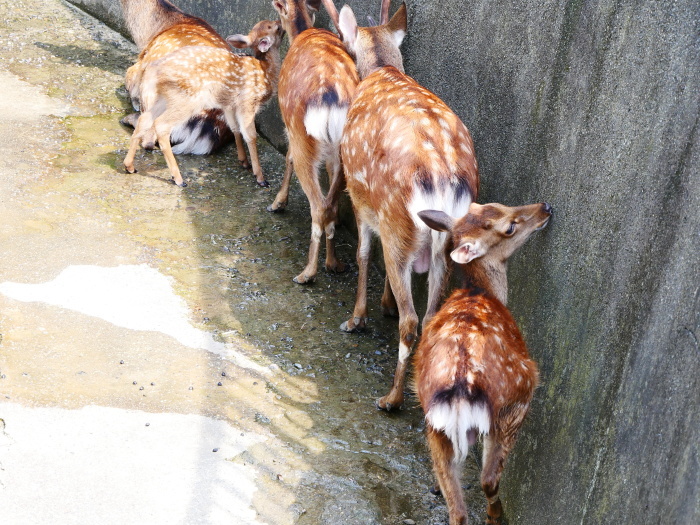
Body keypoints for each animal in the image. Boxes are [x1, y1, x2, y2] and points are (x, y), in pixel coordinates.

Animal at [123, 21, 284, 188]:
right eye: (274, 27)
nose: (281, 23)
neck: (266, 70)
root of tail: (154, 70)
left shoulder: (229, 104)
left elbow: (235, 128)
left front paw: (244, 161)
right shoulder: (248, 102)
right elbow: (250, 136)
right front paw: (260, 177)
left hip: (163, 99)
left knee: (145, 119)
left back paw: (130, 166)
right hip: (186, 99)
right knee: (161, 125)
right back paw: (179, 179)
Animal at [330, 1, 478, 410]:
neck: (384, 68)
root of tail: (442, 178)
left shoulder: (360, 195)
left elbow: (364, 253)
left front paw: (357, 318)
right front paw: (382, 304)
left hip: (399, 224)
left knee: (411, 321)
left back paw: (391, 398)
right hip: (446, 242)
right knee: (430, 318)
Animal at [416, 201, 552, 524]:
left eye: (486, 205)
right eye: (510, 227)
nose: (545, 207)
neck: (481, 291)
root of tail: (459, 392)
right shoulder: (521, 397)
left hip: (435, 427)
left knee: (458, 512)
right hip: (511, 404)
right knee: (488, 479)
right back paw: (496, 514)